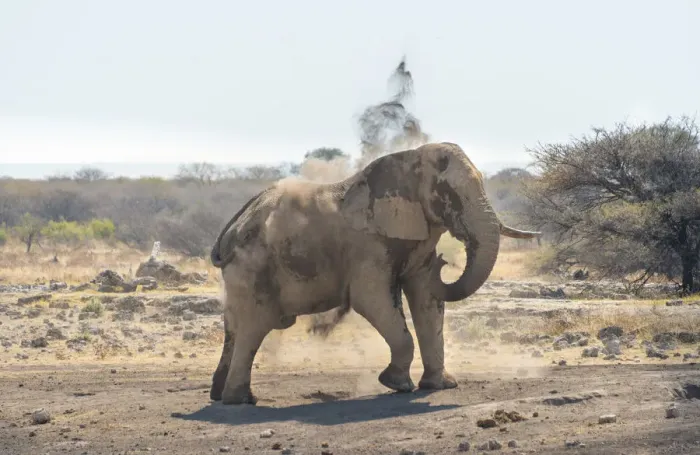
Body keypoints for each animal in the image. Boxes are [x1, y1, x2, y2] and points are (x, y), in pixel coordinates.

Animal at [208, 142, 540, 405]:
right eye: (450, 194)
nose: (443, 262)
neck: (410, 159)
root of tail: (233, 227)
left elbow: (426, 298)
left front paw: (440, 386)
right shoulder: (368, 246)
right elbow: (372, 299)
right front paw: (396, 384)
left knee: (234, 329)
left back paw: (219, 395)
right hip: (252, 268)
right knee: (254, 327)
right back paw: (241, 401)